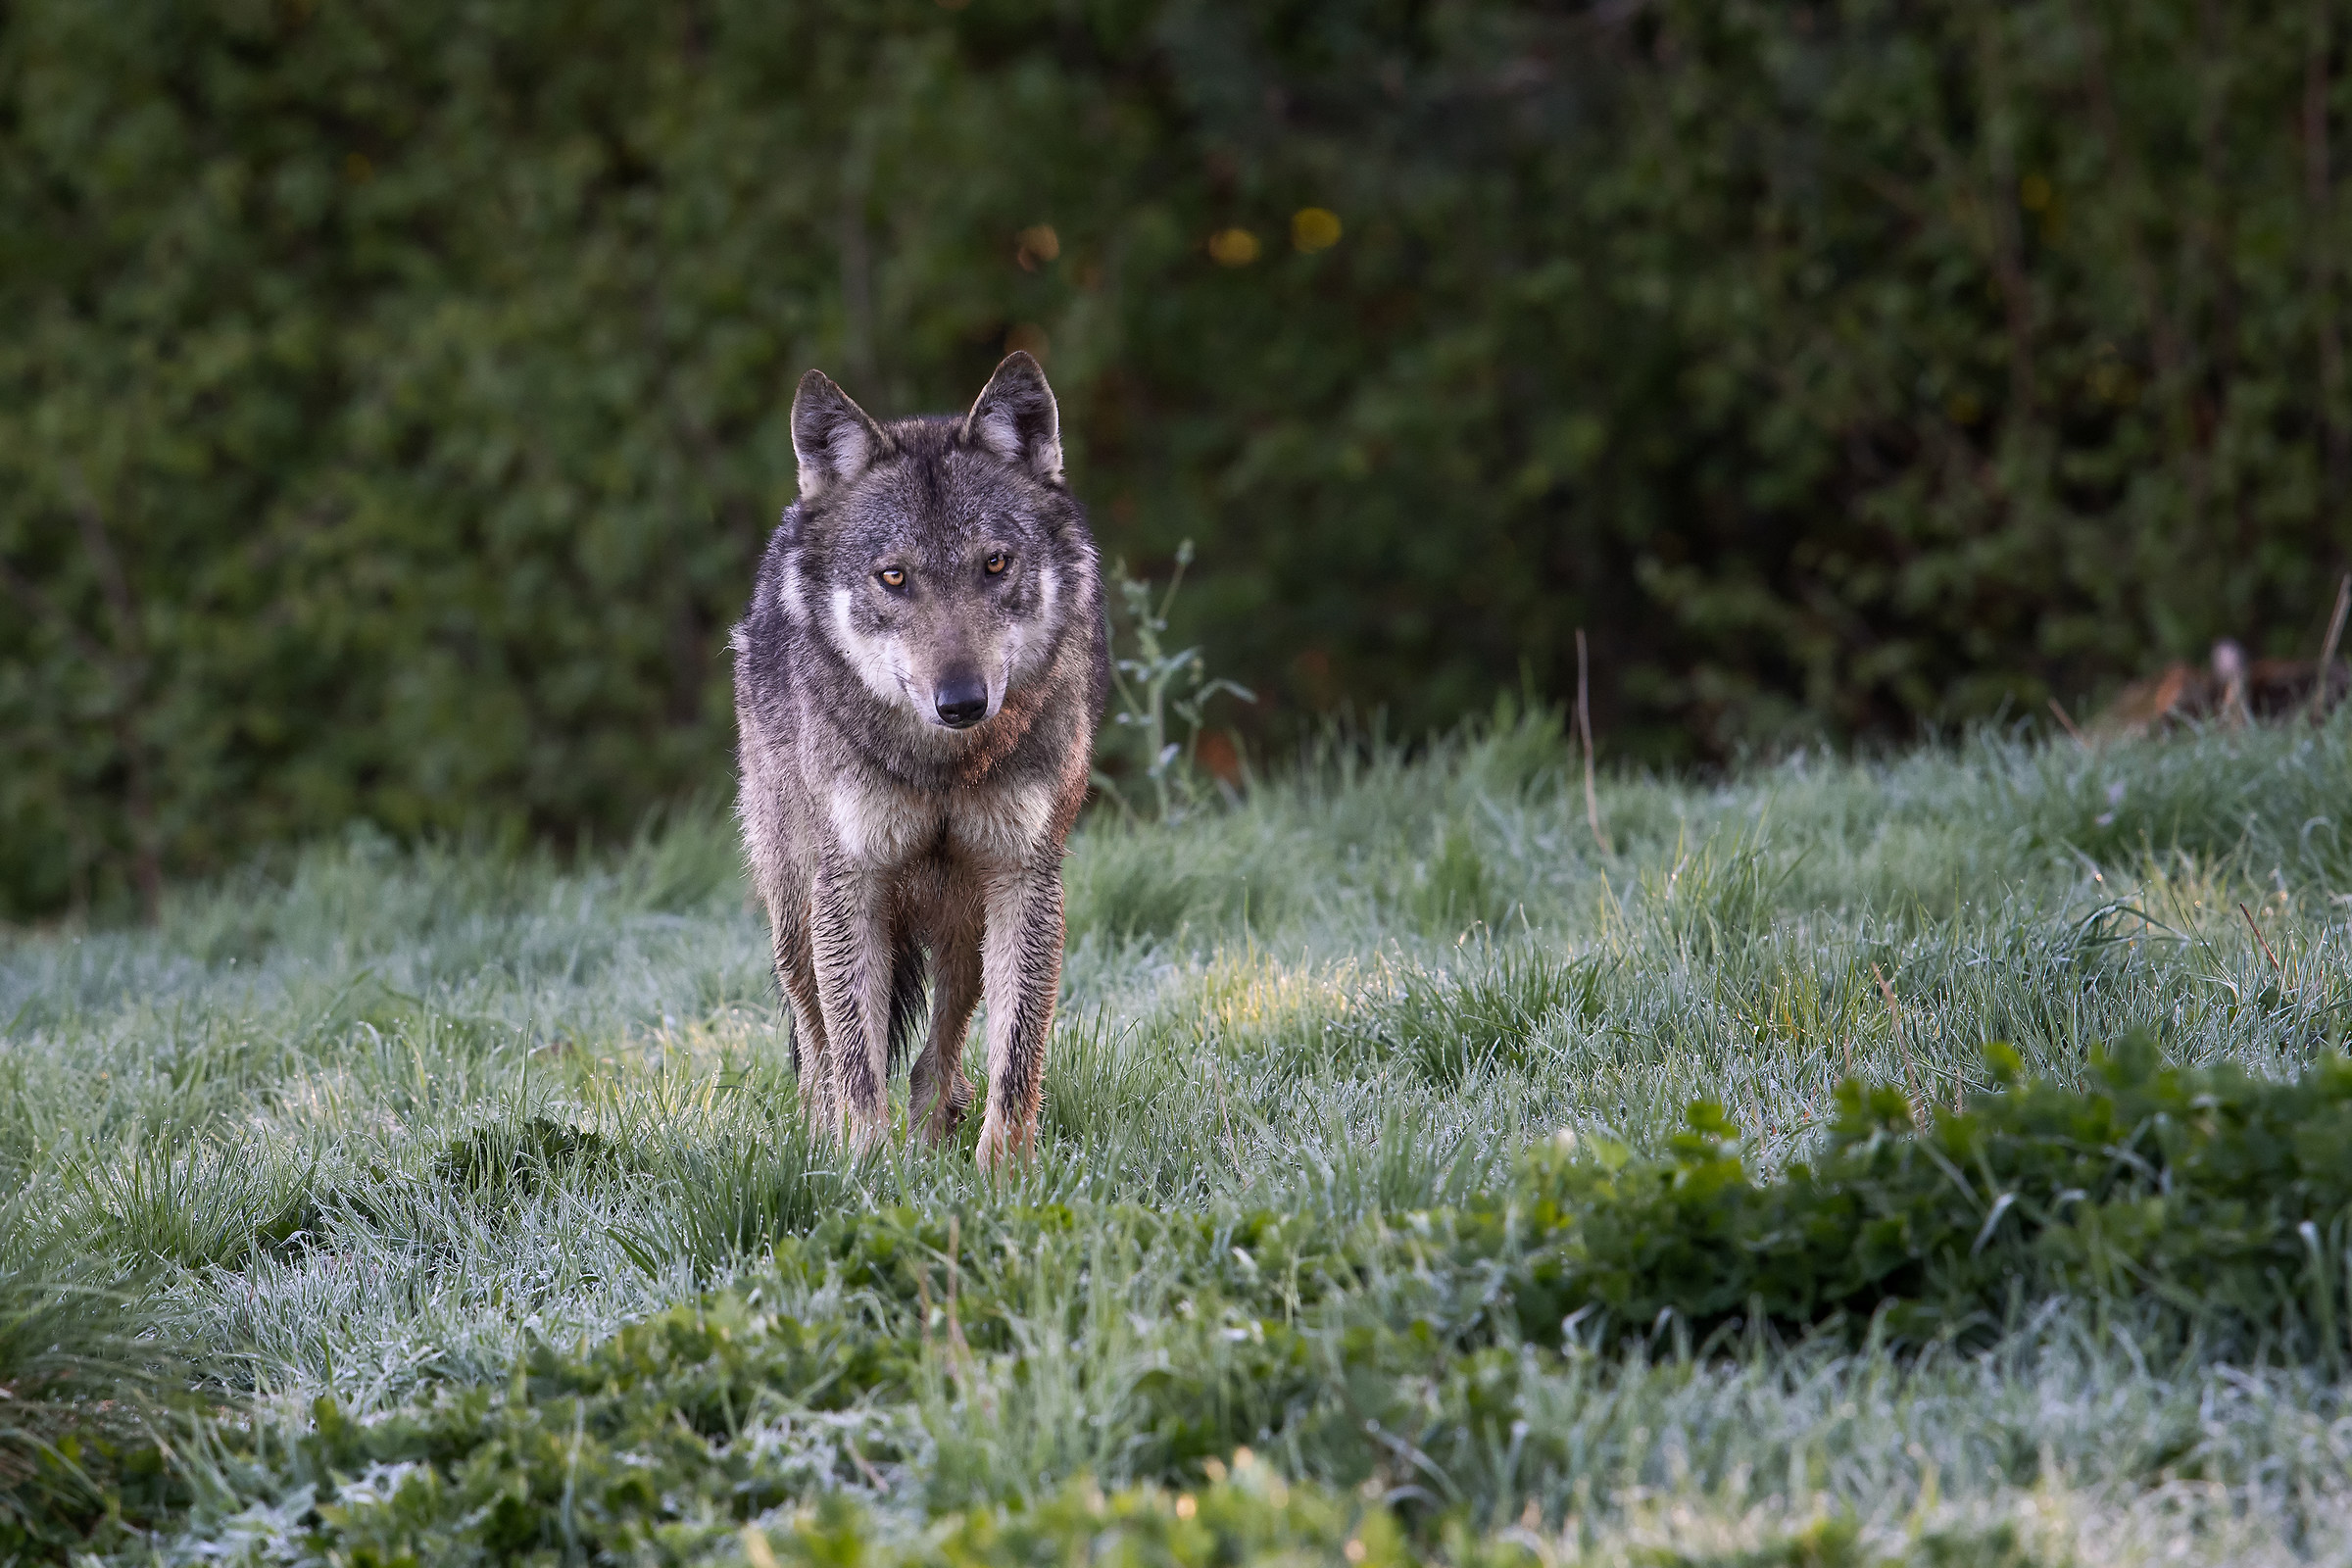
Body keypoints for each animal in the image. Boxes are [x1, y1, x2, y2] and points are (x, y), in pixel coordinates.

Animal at [731, 352, 1107, 1170]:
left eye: (995, 564)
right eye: (894, 576)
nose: (961, 701)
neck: (943, 764)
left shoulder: (1025, 876)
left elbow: (1016, 1054)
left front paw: (1005, 1175)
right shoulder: (851, 882)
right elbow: (855, 1058)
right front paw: (866, 1170)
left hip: (962, 913)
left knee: (941, 1053)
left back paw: (937, 1138)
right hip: (795, 915)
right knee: (818, 1051)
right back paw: (825, 1143)